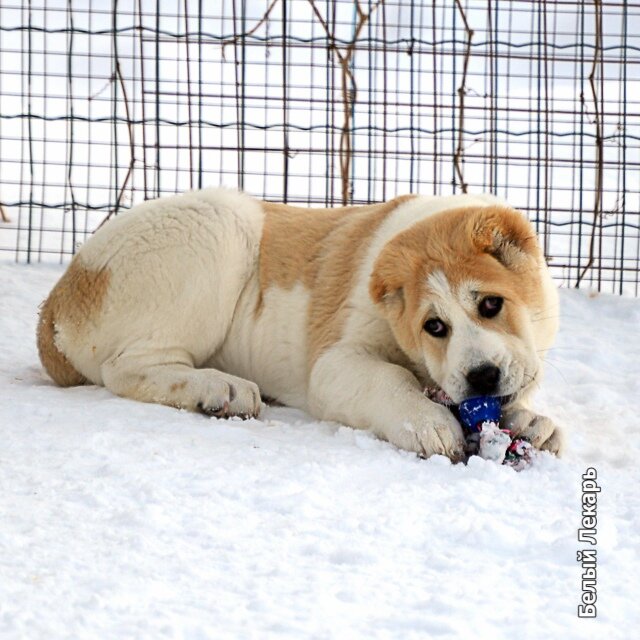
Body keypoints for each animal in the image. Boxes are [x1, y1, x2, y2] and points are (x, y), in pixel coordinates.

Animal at [37, 188, 564, 462]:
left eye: (491, 304)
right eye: (435, 327)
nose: (482, 377)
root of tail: (54, 306)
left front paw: (532, 421)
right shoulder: (334, 365)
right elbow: (388, 377)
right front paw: (428, 422)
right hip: (220, 225)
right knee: (128, 368)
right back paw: (219, 389)